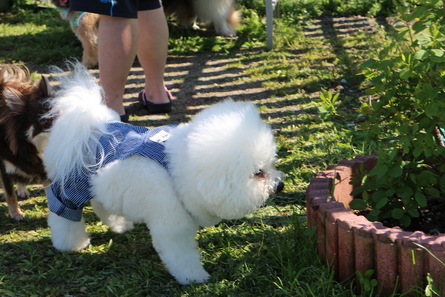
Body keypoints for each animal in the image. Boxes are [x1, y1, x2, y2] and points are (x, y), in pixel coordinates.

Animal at [42, 63, 284, 284]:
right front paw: (194, 278)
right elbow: (181, 256)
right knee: (63, 214)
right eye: (258, 173)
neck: (175, 171)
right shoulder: (172, 226)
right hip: (70, 185)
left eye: (270, 164)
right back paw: (70, 243)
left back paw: (120, 225)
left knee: (101, 203)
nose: (280, 185)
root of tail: (89, 124)